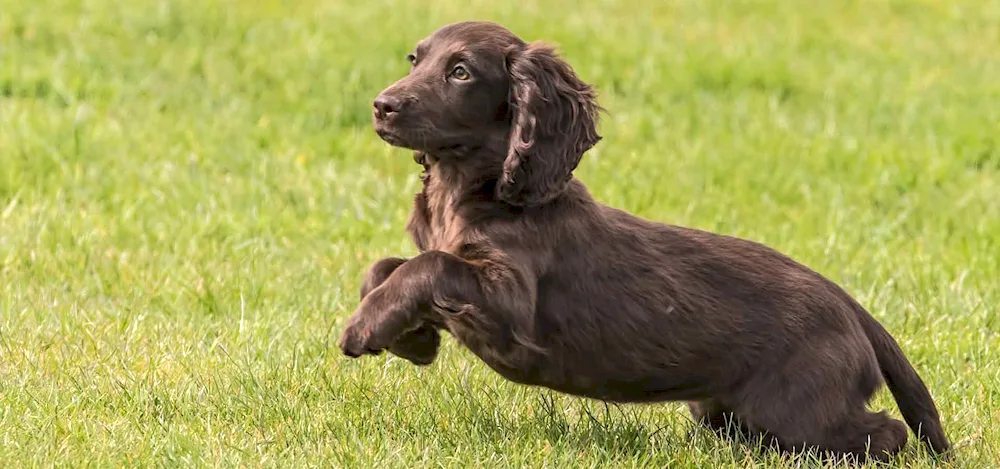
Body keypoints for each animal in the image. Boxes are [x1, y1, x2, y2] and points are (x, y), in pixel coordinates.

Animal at [340, 20, 948, 458]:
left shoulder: (512, 305)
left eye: (461, 72)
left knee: (884, 435)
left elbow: (429, 266)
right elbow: (385, 265)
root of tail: (851, 306)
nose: (381, 106)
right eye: (415, 60)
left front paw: (364, 328)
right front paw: (412, 339)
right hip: (726, 409)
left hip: (798, 407)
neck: (474, 189)